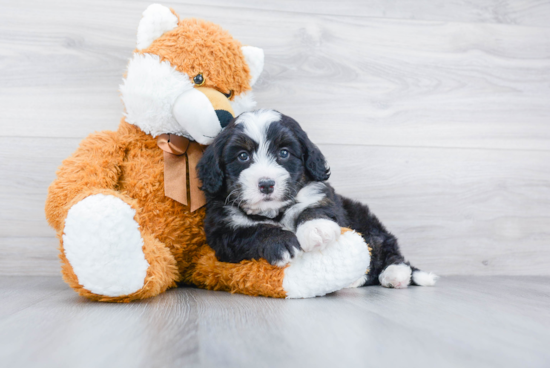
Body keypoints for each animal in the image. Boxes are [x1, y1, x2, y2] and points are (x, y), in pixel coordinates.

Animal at [198, 109, 440, 288]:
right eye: (242, 156)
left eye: (284, 153)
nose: (266, 184)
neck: (276, 212)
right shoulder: (222, 228)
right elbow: (251, 231)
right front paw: (280, 242)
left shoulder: (322, 193)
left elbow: (317, 206)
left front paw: (316, 228)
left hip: (368, 222)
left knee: (386, 248)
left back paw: (395, 274)